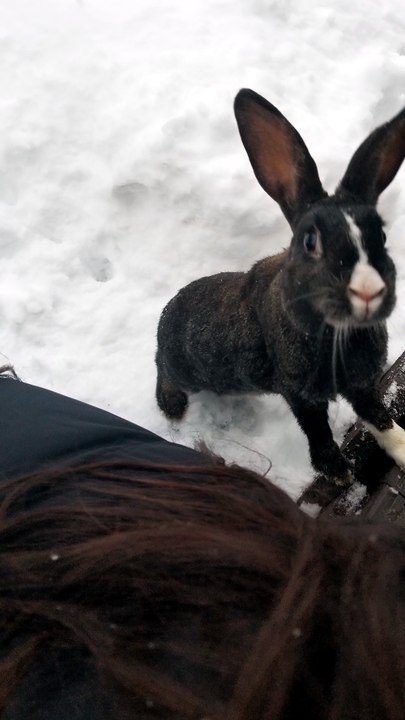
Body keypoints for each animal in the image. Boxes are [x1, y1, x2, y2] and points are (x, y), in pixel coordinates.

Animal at [155, 88, 405, 485]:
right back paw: (171, 403)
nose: (368, 292)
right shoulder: (300, 394)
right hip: (186, 370)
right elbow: (318, 432)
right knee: (162, 369)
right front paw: (338, 474)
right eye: (310, 241)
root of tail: (164, 319)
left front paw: (404, 451)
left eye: (380, 235)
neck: (337, 333)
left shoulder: (362, 386)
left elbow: (379, 417)